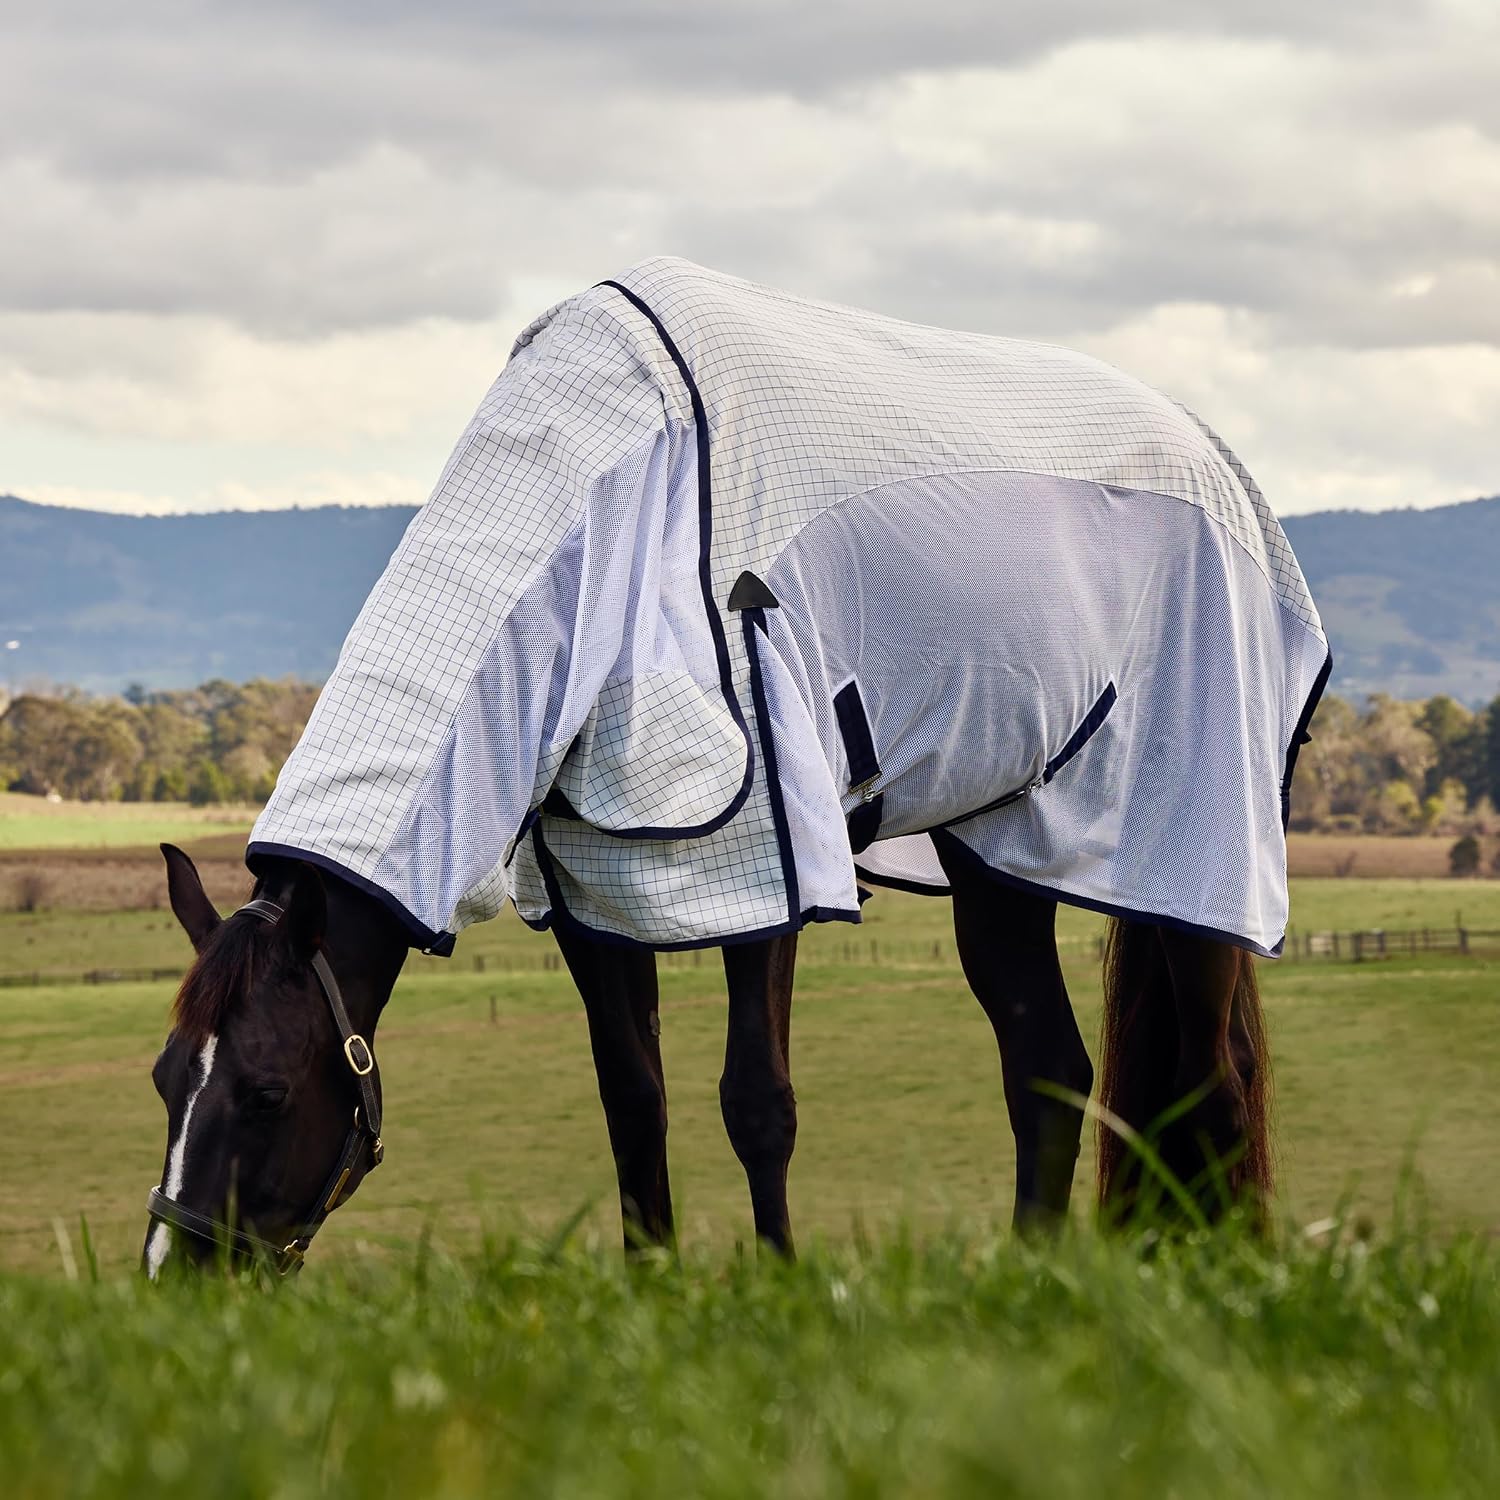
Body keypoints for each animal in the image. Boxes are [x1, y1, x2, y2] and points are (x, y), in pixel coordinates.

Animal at [143, 258, 1324, 1273]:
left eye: (263, 1091)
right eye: (164, 1080)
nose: (175, 1278)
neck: (615, 518)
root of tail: (1219, 462)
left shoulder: (772, 865)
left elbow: (757, 1101)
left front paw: (781, 1285)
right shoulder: (588, 892)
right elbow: (634, 1099)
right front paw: (652, 1289)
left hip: (1190, 856)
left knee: (1212, 1084)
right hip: (1001, 859)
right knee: (1051, 1073)